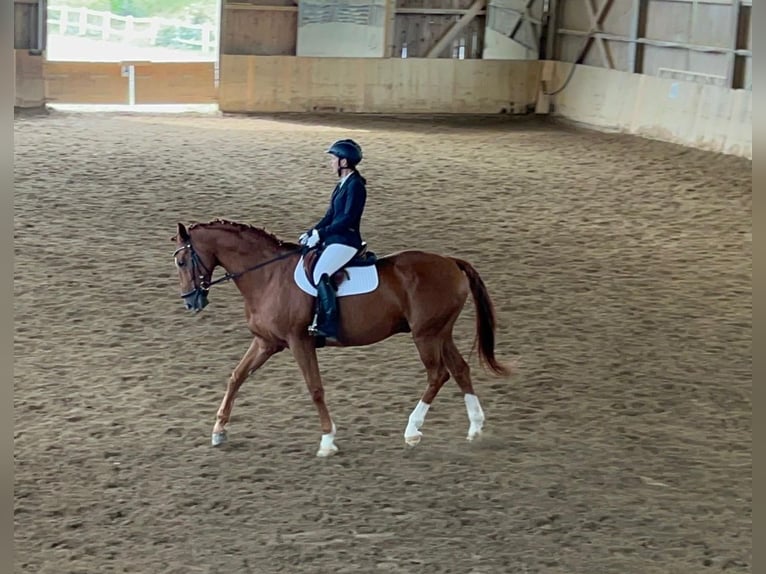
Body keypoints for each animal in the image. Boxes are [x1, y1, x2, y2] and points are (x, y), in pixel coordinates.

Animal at [171, 218, 514, 457]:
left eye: (182, 261)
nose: (190, 301)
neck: (268, 276)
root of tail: (450, 261)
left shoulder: (299, 341)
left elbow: (315, 389)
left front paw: (327, 441)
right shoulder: (267, 342)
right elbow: (236, 377)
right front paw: (218, 431)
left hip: (426, 335)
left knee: (438, 374)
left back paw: (412, 431)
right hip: (441, 332)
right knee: (460, 369)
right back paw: (475, 428)